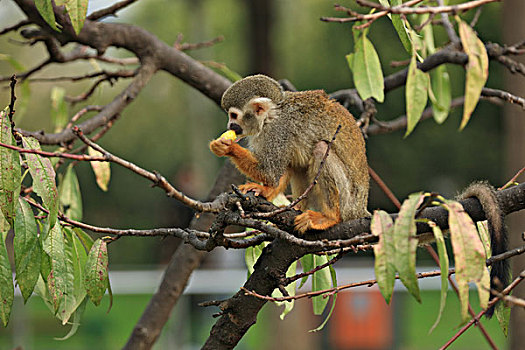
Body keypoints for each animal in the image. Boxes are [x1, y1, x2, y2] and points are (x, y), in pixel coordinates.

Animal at [209, 74, 368, 232]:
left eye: (233, 115)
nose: (230, 125)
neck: (271, 116)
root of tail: (360, 209)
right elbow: (278, 170)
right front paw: (265, 190)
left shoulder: (278, 131)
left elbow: (270, 173)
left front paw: (227, 147)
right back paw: (297, 208)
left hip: (347, 202)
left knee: (321, 149)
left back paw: (329, 217)